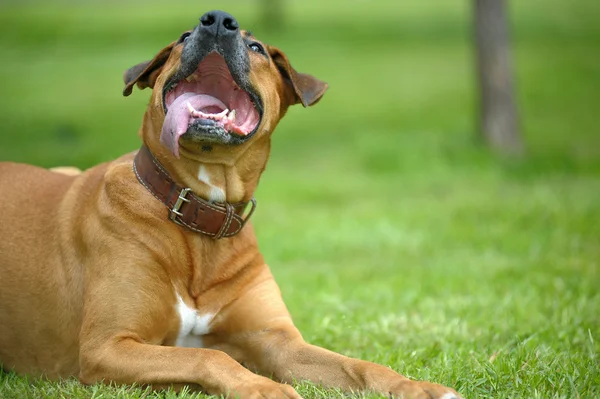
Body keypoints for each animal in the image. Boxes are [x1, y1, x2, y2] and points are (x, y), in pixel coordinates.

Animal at [0, 9, 462, 399]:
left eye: (256, 47)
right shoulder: (106, 346)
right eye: (183, 38)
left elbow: (360, 365)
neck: (202, 214)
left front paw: (418, 387)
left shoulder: (277, 341)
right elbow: (209, 354)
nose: (217, 20)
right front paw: (266, 389)